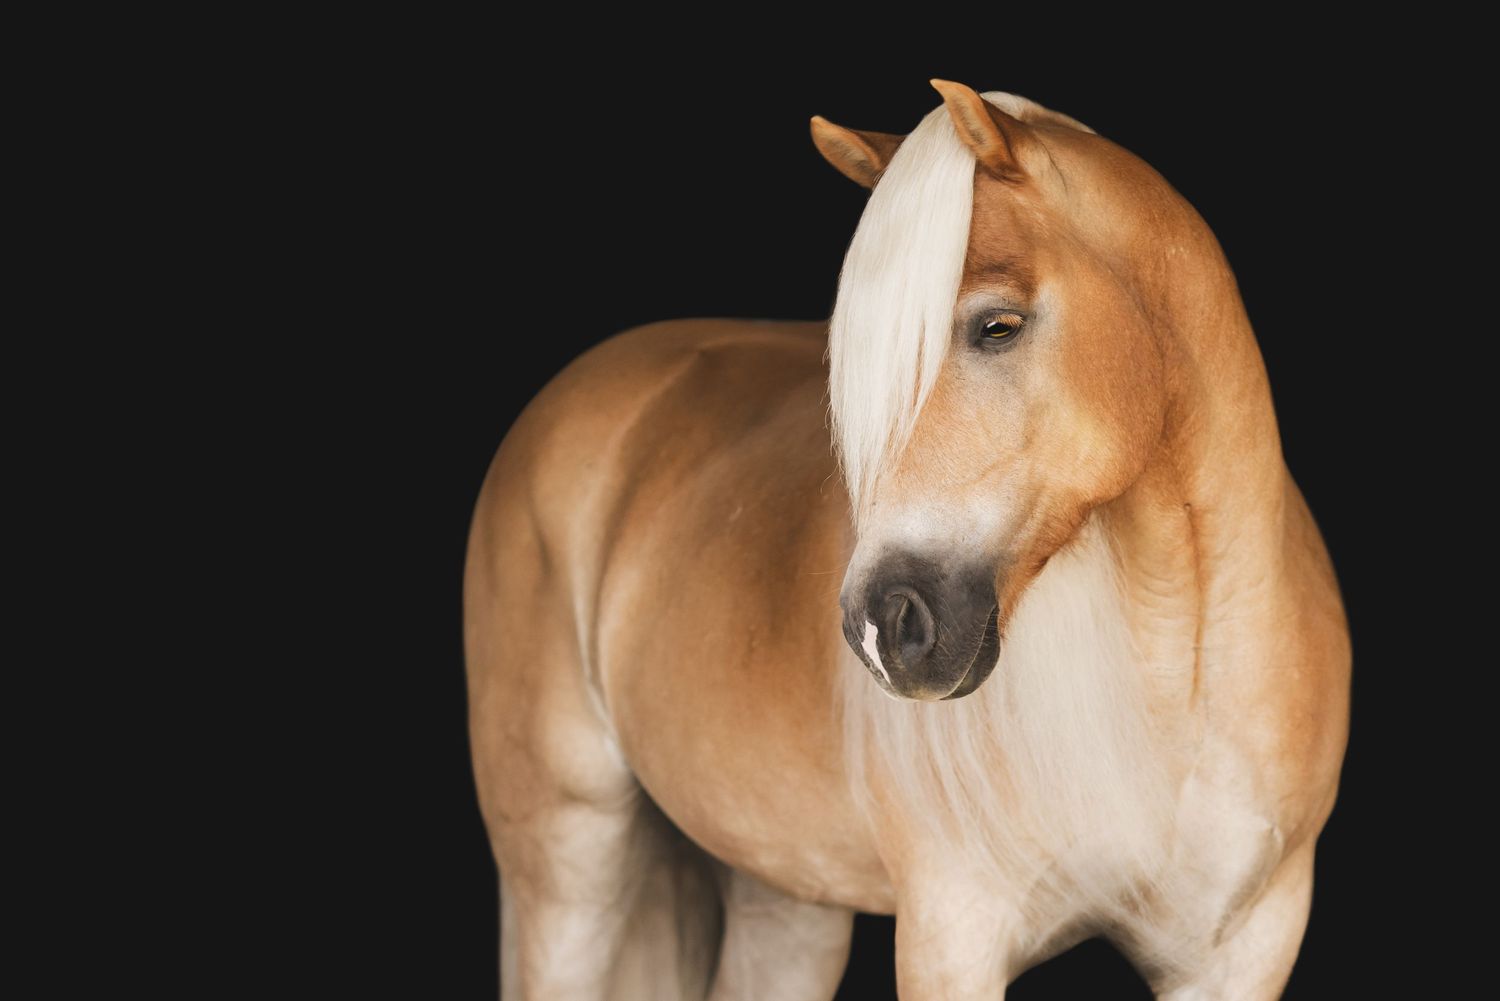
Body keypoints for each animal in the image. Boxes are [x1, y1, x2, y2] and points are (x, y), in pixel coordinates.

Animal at [463, 79, 1351, 1000]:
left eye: (998, 325)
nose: (882, 624)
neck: (1179, 682)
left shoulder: (1245, 943)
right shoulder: (952, 930)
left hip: (786, 894)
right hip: (569, 860)